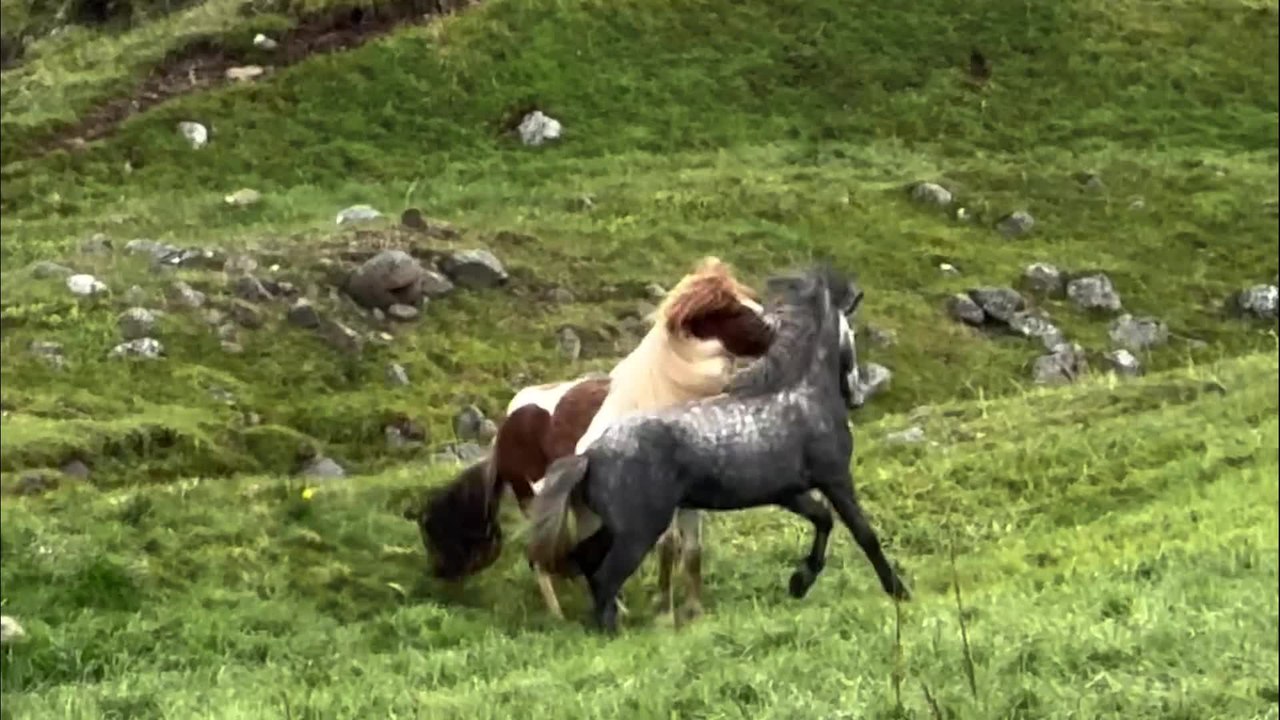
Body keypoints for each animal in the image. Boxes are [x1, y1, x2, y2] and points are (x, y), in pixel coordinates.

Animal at [407, 256, 776, 619]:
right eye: (730, 311)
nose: (776, 328)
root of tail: (506, 426)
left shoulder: (688, 500)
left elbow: (692, 551)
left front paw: (694, 613)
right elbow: (668, 548)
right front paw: (664, 615)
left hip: (584, 505)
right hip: (537, 500)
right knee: (541, 557)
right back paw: (559, 616)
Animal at [524, 263, 911, 634]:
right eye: (852, 334)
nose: (857, 396)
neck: (804, 396)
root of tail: (588, 456)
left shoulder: (787, 491)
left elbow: (823, 519)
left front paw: (799, 582)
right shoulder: (836, 479)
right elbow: (864, 533)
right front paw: (899, 591)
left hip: (609, 527)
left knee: (586, 564)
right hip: (640, 530)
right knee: (605, 576)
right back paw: (617, 633)